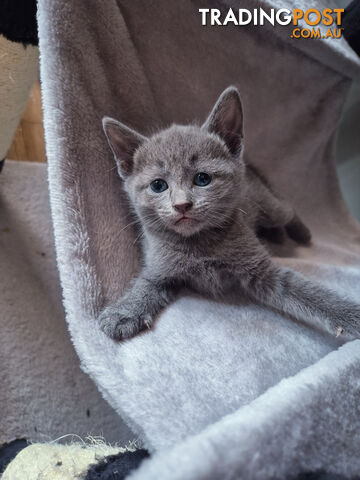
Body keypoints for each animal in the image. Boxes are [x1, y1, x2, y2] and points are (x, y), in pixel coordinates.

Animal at [100, 87, 360, 342]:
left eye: (202, 179)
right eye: (158, 185)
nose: (182, 205)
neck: (198, 244)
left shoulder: (261, 269)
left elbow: (308, 293)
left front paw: (350, 315)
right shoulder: (160, 266)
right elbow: (146, 282)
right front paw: (123, 311)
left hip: (271, 207)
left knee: (288, 208)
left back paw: (301, 233)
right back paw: (276, 235)